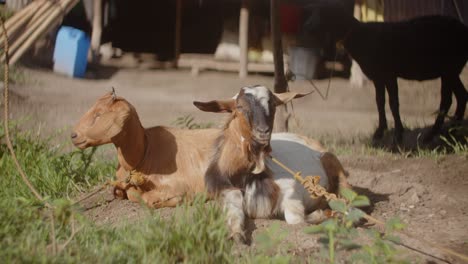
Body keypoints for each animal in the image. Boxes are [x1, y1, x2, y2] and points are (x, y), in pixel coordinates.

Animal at [70, 89, 220, 207]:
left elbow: (147, 197)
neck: (145, 153)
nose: (73, 135)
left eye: (98, 114)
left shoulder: (179, 184)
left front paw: (184, 199)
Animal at [193, 85, 348, 242]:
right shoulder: (226, 190)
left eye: (273, 105)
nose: (263, 131)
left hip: (332, 163)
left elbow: (295, 220)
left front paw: (319, 215)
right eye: (240, 106)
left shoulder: (291, 192)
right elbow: (234, 211)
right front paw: (237, 234)